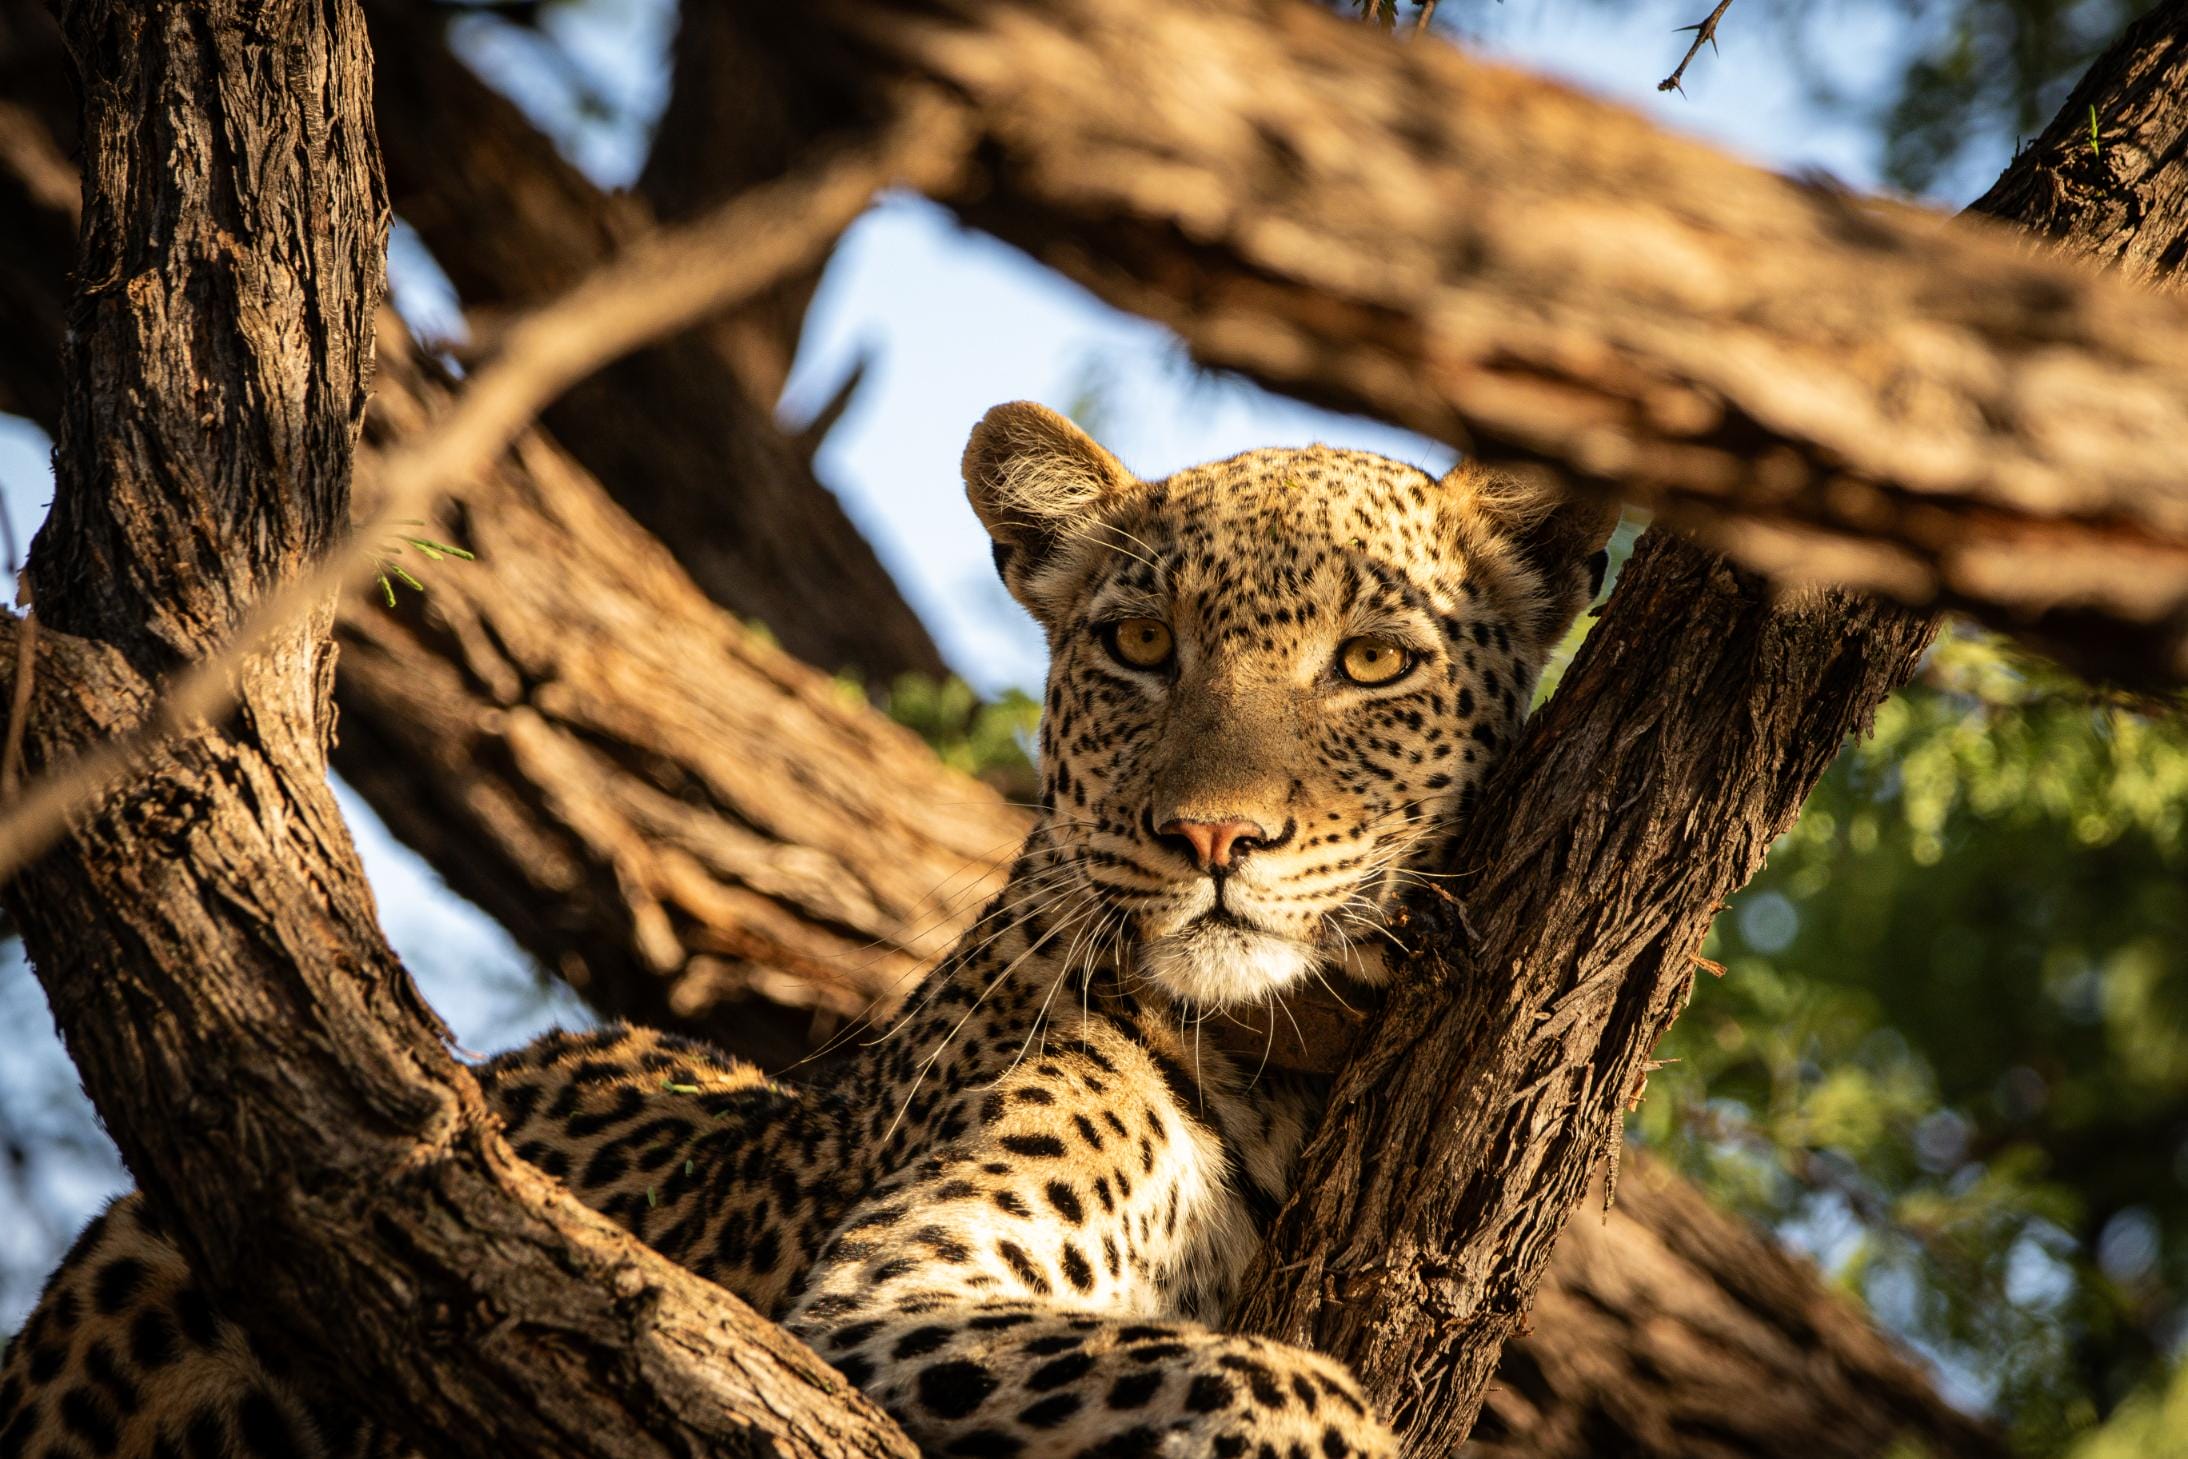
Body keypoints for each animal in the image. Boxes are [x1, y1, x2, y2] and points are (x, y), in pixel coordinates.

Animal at [0, 401, 1613, 1459]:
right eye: (1142, 645)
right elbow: (1269, 1381)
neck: (1281, 1055)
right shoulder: (880, 1306)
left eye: (1376, 662)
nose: (1213, 839)